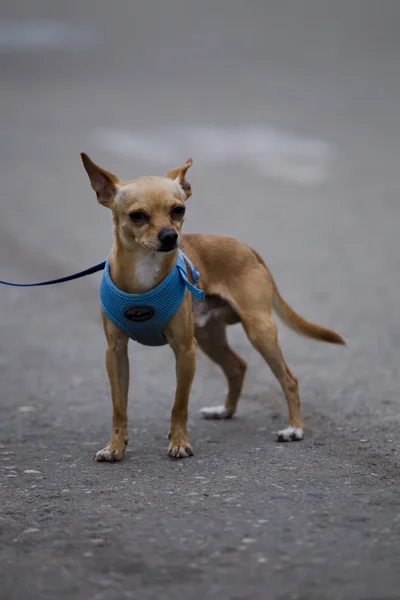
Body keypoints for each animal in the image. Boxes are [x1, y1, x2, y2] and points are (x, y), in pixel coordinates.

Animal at [80, 154, 344, 460]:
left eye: (178, 210)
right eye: (137, 216)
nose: (170, 236)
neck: (144, 271)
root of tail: (247, 248)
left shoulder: (185, 350)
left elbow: (179, 405)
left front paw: (179, 443)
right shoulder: (116, 353)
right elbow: (119, 407)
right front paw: (115, 447)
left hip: (258, 332)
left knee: (289, 379)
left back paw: (295, 429)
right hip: (209, 337)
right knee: (237, 367)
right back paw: (225, 411)